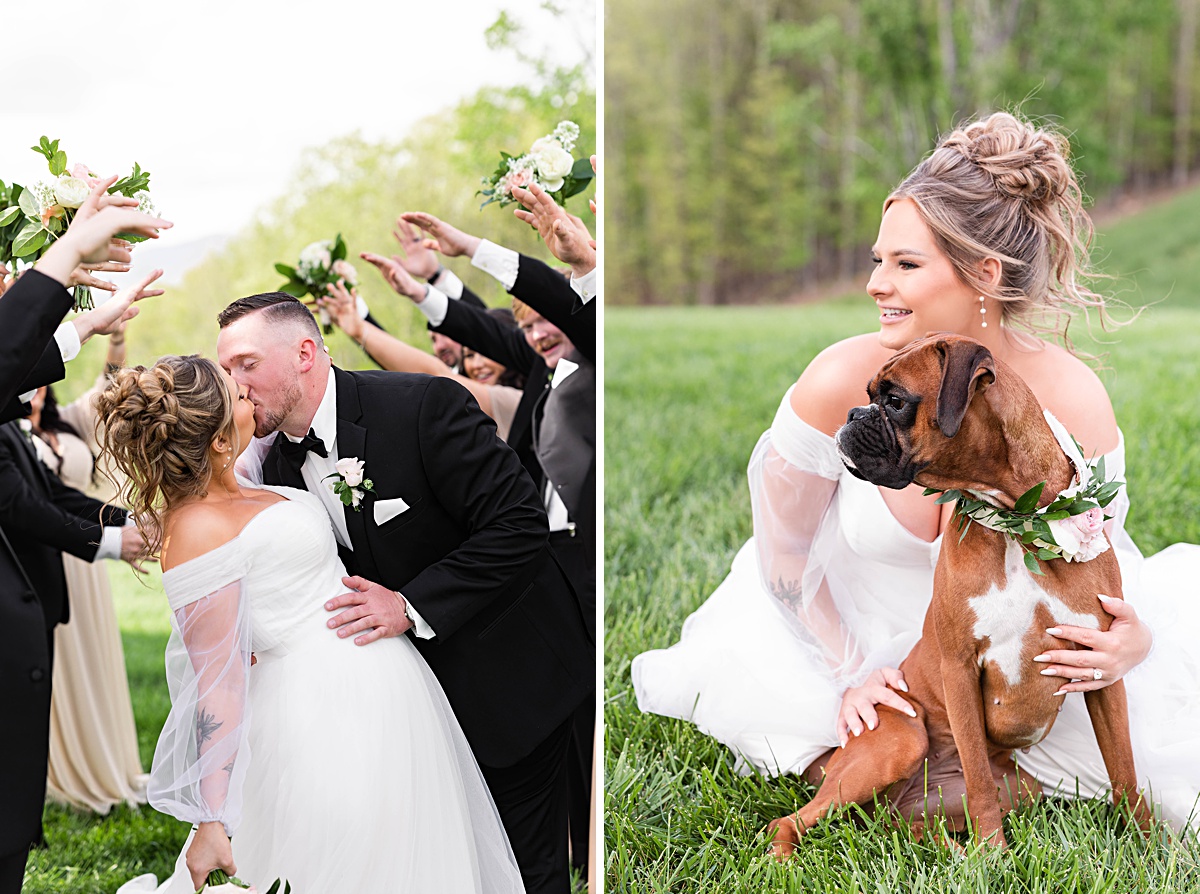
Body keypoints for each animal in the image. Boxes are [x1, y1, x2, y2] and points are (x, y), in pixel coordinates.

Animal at [768, 333, 1152, 849]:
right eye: (869, 396)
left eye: (894, 401)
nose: (852, 414)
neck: (1016, 521)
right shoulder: (960, 670)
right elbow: (978, 781)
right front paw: (992, 856)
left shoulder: (1102, 670)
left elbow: (1124, 770)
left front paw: (1153, 846)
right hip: (901, 740)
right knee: (789, 820)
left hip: (1018, 790)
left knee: (899, 827)